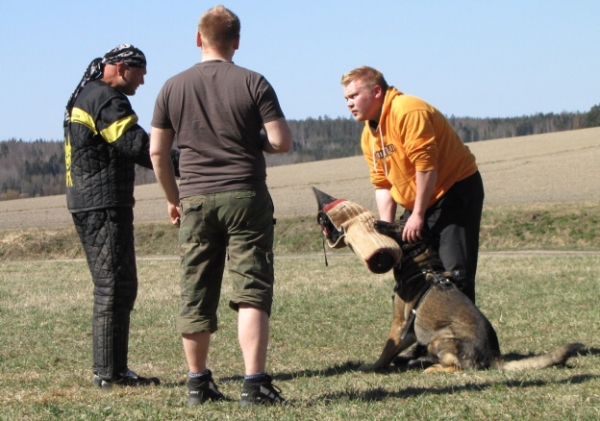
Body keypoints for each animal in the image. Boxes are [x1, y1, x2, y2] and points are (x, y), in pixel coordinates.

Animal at [358, 218, 584, 372]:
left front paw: (373, 367)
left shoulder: (400, 323)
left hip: (439, 340)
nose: (376, 221)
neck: (421, 261)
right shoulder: (410, 329)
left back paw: (432, 368)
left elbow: (387, 350)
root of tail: (493, 354)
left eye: (398, 225)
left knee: (457, 368)